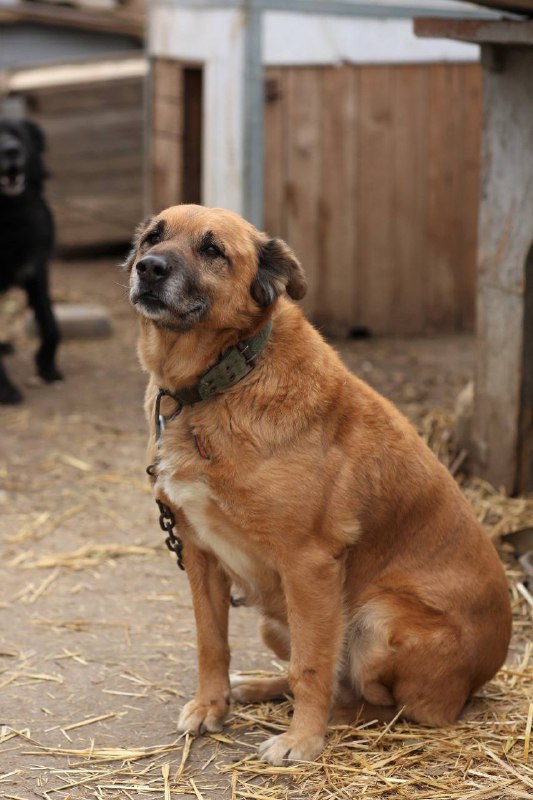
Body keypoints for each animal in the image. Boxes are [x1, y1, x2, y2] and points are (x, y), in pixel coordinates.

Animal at [127, 205, 512, 764]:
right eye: (153, 237)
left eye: (212, 250)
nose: (149, 268)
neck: (221, 381)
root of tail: (487, 670)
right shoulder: (198, 553)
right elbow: (211, 643)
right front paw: (211, 706)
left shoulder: (308, 564)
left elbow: (311, 668)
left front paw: (303, 740)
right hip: (276, 621)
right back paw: (256, 687)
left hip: (375, 622)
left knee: (384, 705)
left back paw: (331, 717)